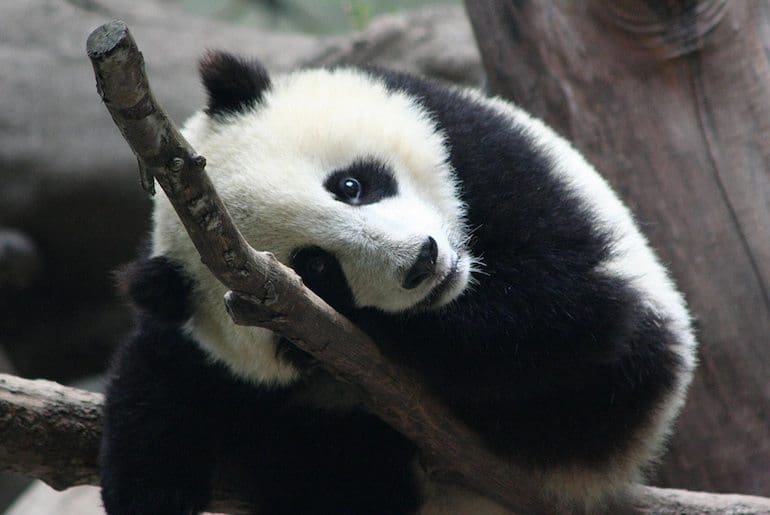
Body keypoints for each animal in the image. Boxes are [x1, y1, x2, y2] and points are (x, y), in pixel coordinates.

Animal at [100, 52, 697, 515]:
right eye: (317, 270)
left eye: (350, 185)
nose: (423, 263)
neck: (464, 292)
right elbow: (170, 365)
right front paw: (151, 487)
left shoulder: (489, 154)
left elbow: (579, 308)